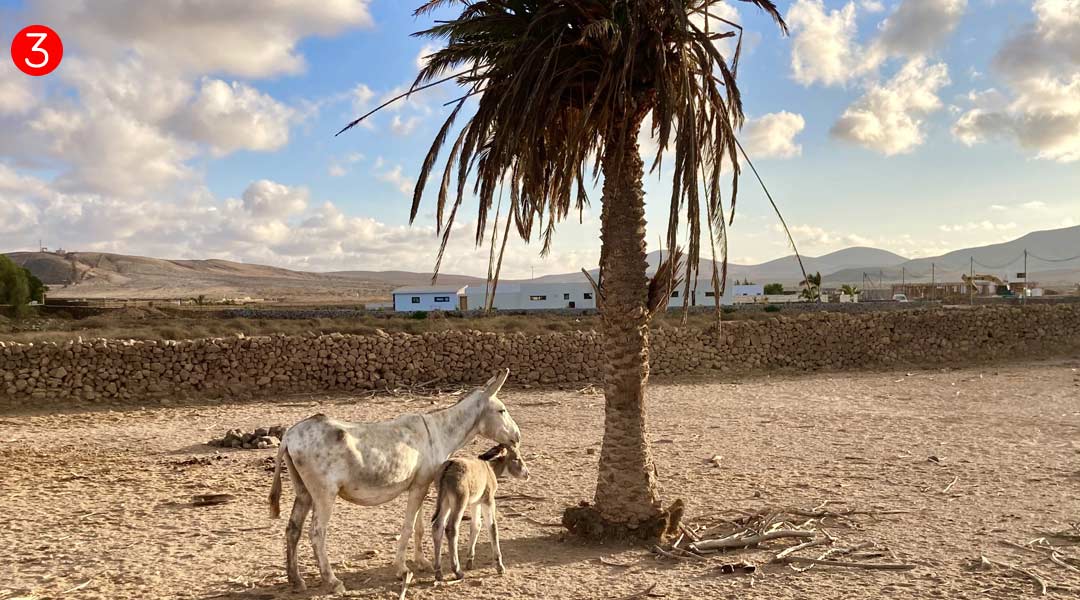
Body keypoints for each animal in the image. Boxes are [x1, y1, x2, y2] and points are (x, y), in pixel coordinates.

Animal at [432, 442, 529, 578]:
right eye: (516, 458)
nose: (527, 474)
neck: (489, 468)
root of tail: (448, 465)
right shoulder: (488, 500)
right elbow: (492, 527)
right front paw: (499, 566)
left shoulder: (475, 503)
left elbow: (476, 525)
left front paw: (470, 561)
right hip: (459, 501)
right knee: (451, 528)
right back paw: (457, 571)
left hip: (445, 501)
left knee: (438, 526)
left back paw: (438, 572)